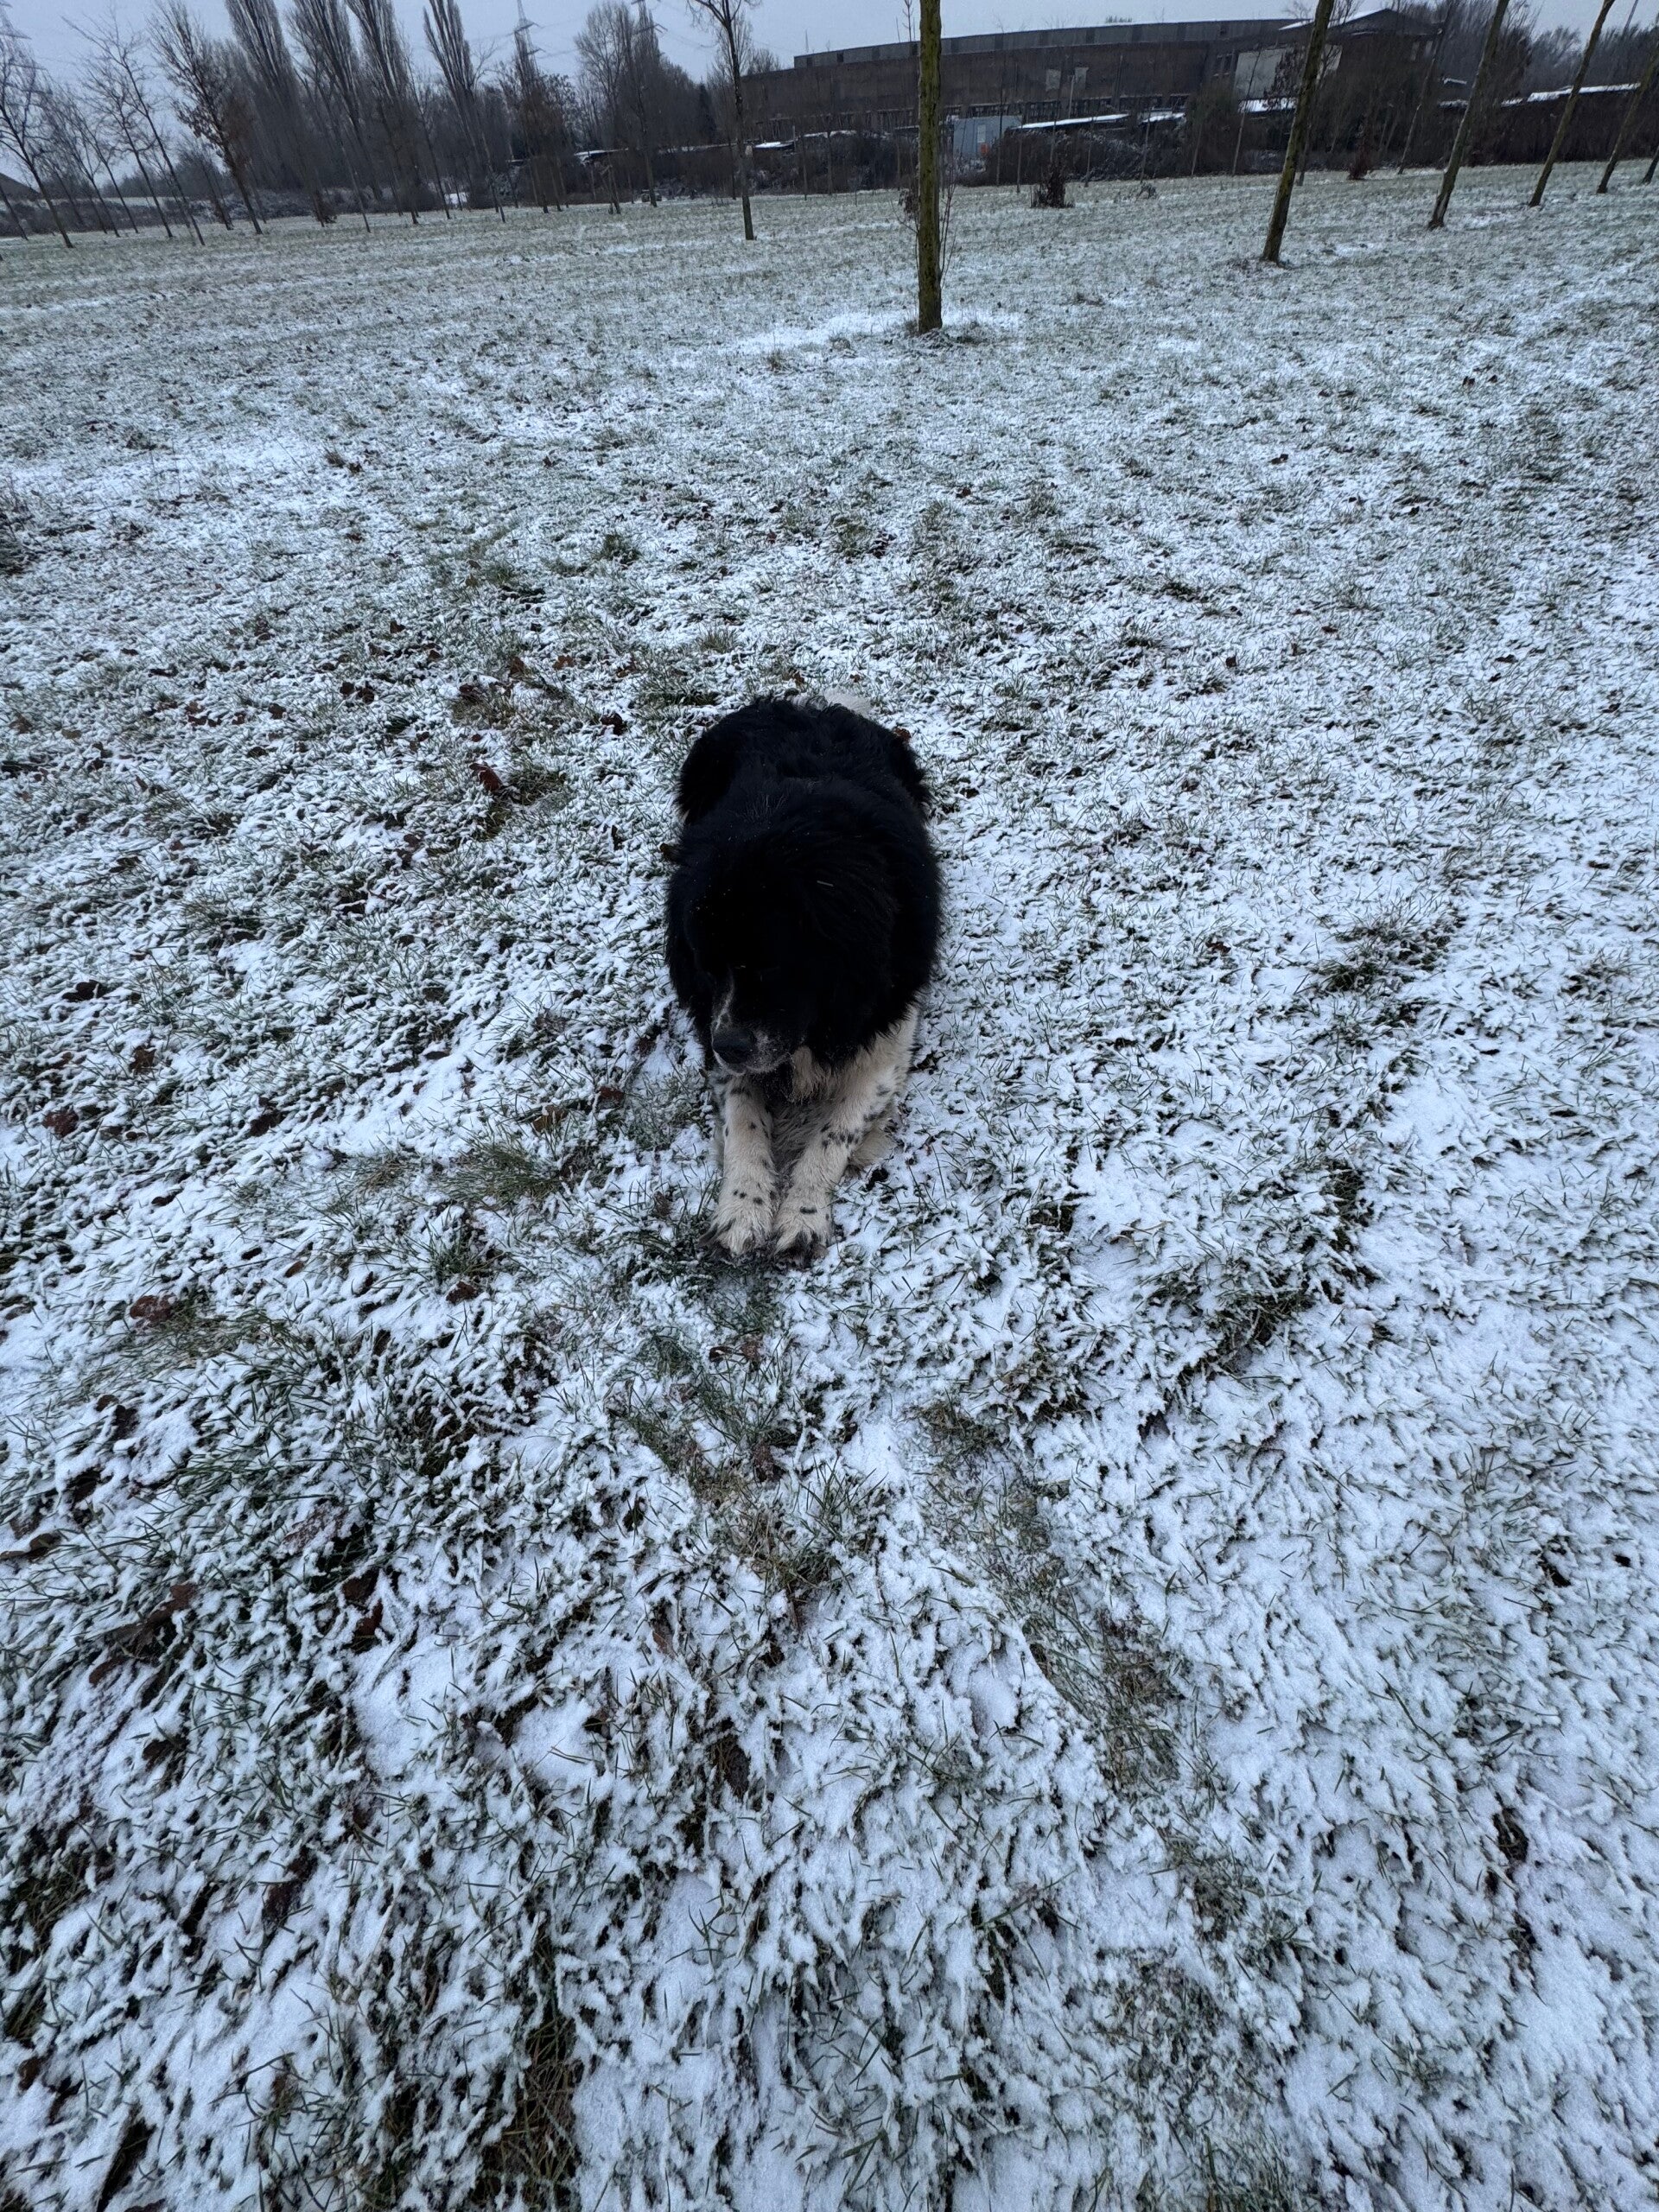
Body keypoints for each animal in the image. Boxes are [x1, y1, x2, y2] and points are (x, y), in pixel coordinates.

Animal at [666, 697, 940, 1259]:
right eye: (705, 964)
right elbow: (744, 1118)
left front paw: (803, 1213)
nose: (729, 1047)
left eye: (771, 966)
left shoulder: (884, 1041)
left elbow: (836, 1132)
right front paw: (743, 1207)